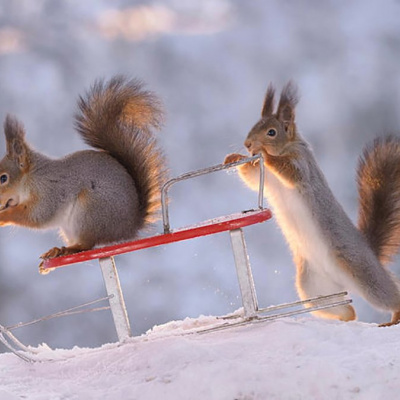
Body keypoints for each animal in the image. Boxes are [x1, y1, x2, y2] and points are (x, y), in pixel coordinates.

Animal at [0, 76, 166, 260]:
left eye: (3, 178)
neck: (32, 178)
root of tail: (128, 228)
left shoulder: (51, 190)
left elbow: (38, 215)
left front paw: (3, 216)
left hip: (90, 212)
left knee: (87, 245)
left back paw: (68, 249)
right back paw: (57, 250)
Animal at [225, 81, 400, 324]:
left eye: (272, 132)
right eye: (254, 126)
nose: (248, 144)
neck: (288, 147)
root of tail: (371, 252)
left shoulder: (302, 165)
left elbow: (290, 172)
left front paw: (266, 155)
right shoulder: (267, 180)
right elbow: (251, 178)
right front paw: (234, 158)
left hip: (363, 274)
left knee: (389, 295)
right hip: (314, 287)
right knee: (347, 309)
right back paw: (343, 319)